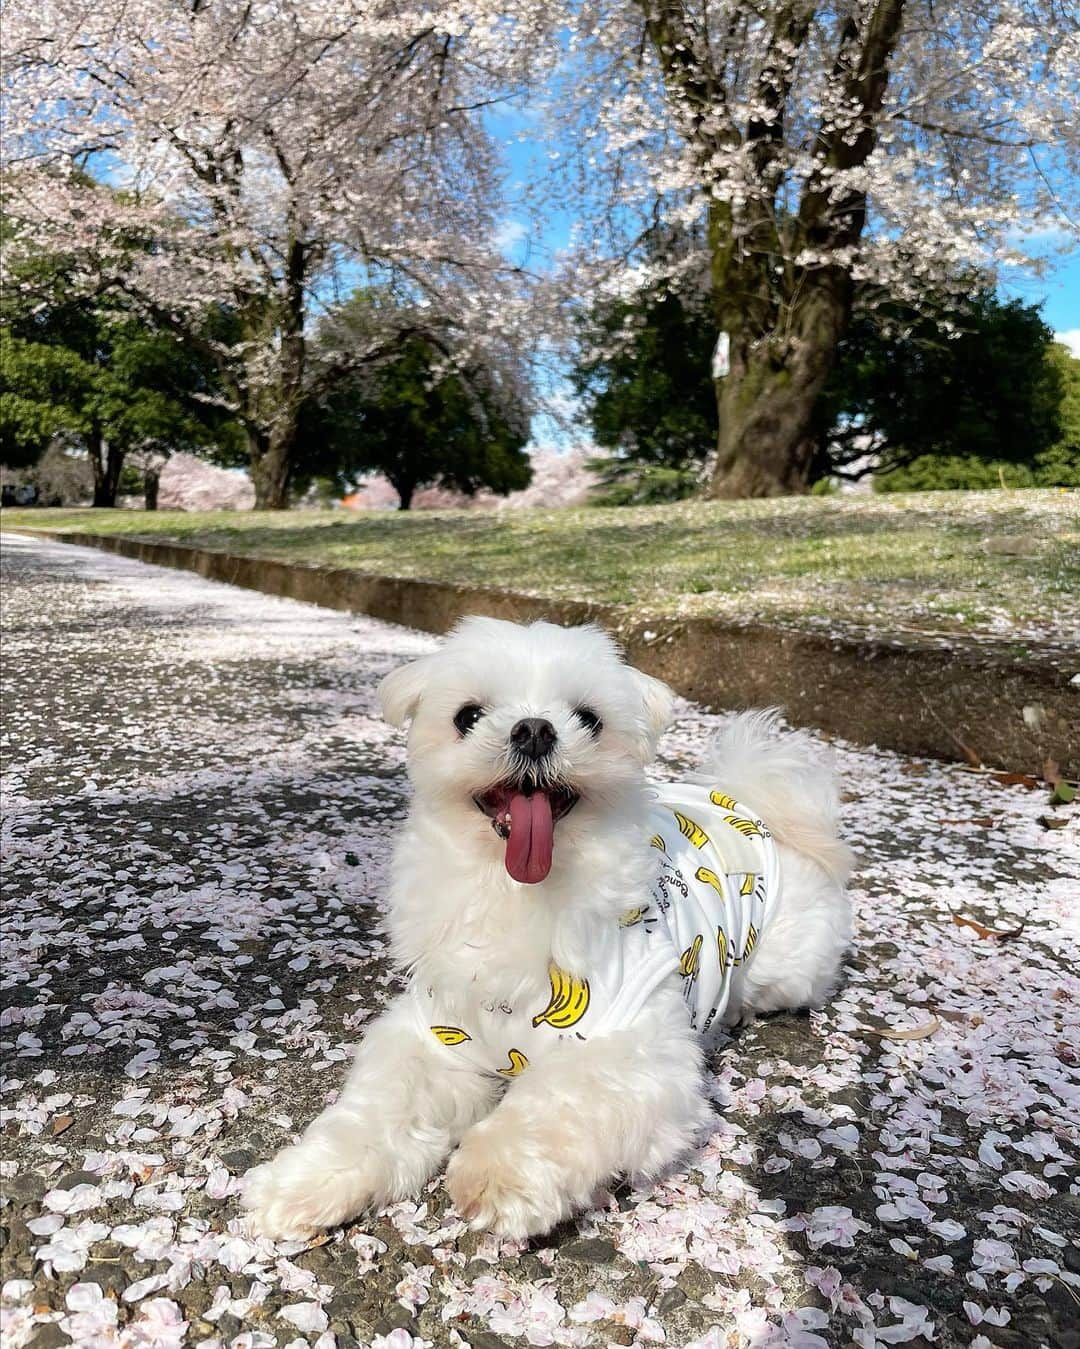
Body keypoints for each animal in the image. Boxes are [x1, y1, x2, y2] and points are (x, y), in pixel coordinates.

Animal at [244, 617, 852, 1235]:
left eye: (589, 719)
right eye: (467, 716)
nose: (534, 730)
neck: (514, 892)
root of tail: (748, 804)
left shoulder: (635, 1052)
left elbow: (560, 1102)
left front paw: (497, 1173)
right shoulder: (435, 1030)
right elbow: (379, 1108)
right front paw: (307, 1181)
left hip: (783, 969)